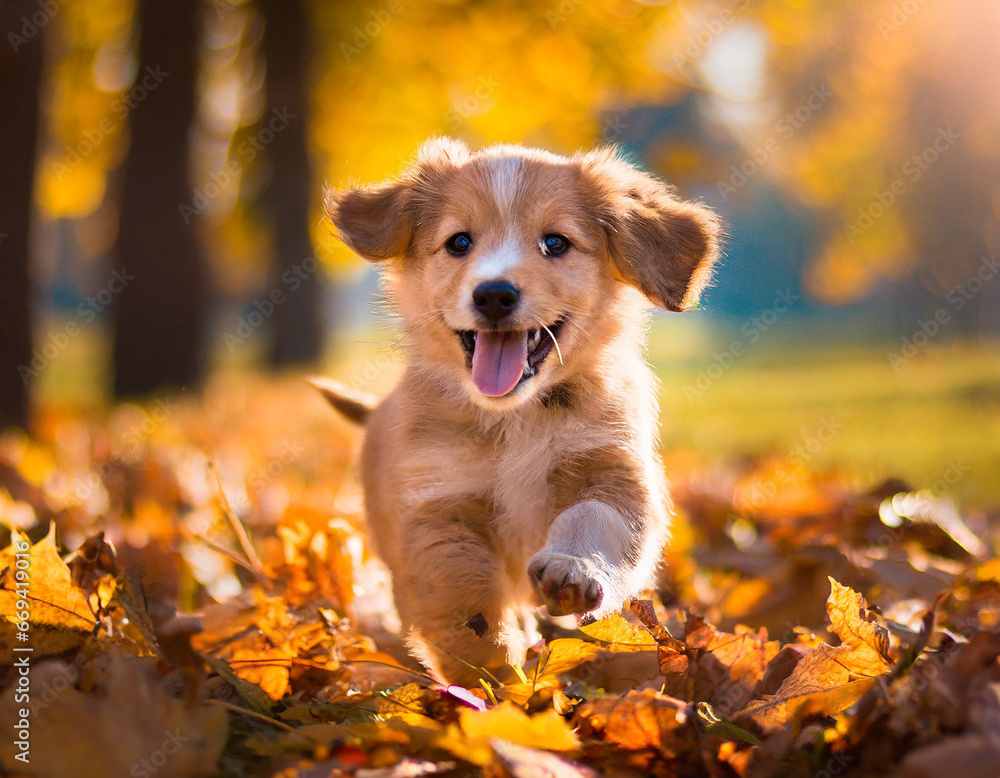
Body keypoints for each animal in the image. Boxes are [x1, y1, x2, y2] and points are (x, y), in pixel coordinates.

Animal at [320, 139, 720, 684]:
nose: (493, 294)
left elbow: (594, 518)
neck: (518, 418)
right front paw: (495, 674)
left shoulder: (616, 473)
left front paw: (574, 570)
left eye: (555, 243)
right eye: (459, 242)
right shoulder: (438, 506)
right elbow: (462, 590)